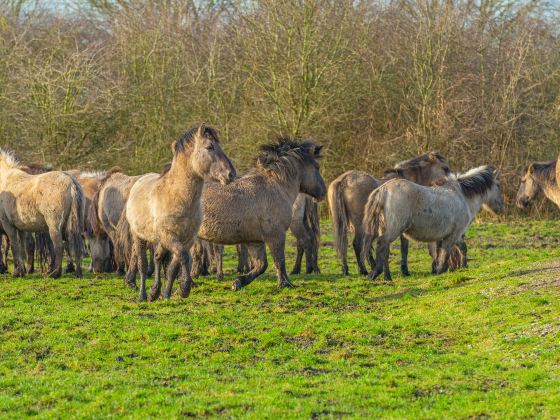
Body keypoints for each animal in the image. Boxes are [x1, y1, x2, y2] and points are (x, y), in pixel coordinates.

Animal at [0, 149, 84, 278]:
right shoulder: (21, 228)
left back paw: (55, 273)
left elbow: (14, 246)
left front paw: (16, 272)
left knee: (59, 247)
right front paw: (22, 271)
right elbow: (22, 247)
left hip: (54, 226)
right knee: (73, 243)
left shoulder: (8, 225)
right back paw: (77, 272)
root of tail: (71, 183)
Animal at [123, 124, 235, 302]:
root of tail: (138, 181)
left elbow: (174, 267)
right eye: (209, 147)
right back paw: (142, 295)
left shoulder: (187, 239)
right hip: (139, 237)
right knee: (142, 264)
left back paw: (154, 292)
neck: (176, 196)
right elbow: (183, 257)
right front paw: (184, 289)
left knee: (158, 258)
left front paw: (167, 294)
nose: (231, 174)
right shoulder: (170, 237)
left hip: (160, 241)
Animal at [199, 136, 326, 290]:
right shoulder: (276, 236)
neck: (275, 187)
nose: (323, 192)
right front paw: (286, 283)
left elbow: (261, 266)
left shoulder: (255, 241)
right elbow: (279, 261)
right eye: (317, 167)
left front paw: (238, 282)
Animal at [364, 166, 504, 280]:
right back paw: (375, 273)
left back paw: (387, 277)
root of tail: (383, 190)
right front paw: (441, 270)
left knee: (385, 251)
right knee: (381, 245)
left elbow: (460, 249)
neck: (461, 195)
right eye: (498, 185)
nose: (501, 208)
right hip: (393, 230)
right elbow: (445, 253)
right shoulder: (454, 234)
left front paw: (462, 266)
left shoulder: (454, 235)